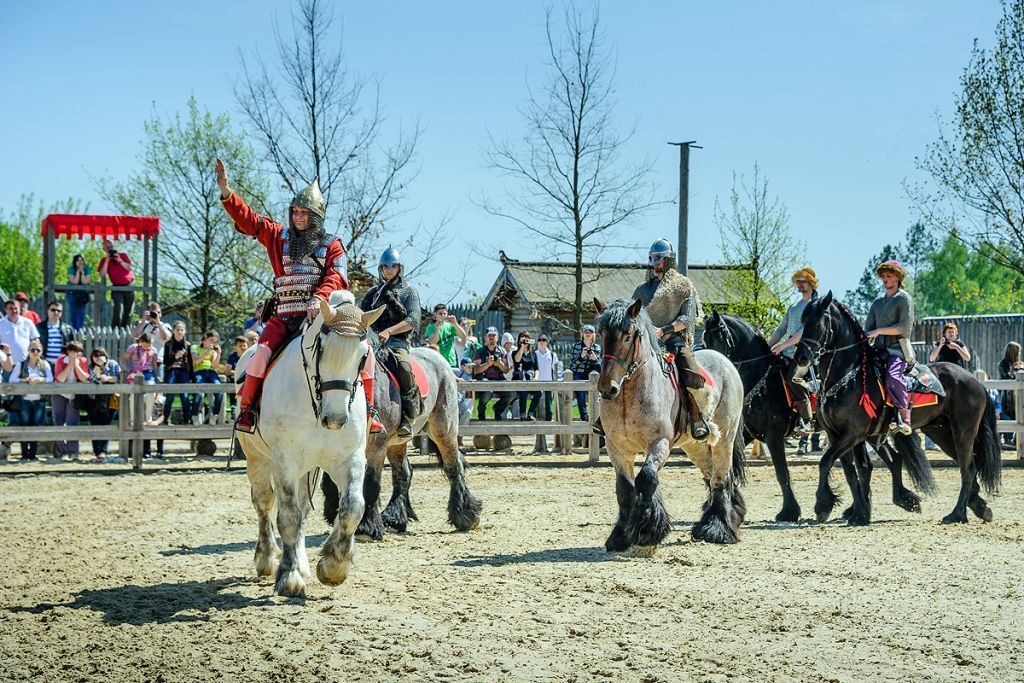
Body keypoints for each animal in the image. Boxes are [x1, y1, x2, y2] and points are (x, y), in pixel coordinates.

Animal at [235, 290, 385, 593]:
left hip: (307, 468)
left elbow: (352, 507)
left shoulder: (350, 458)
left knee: (304, 508)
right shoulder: (285, 461)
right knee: (264, 503)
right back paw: (267, 558)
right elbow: (289, 517)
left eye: (363, 356)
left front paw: (333, 566)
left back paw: (303, 563)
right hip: (257, 458)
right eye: (321, 348)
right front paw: (289, 576)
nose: (335, 419)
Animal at [319, 344, 479, 540]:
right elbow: (330, 481)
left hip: (443, 428)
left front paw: (366, 527)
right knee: (403, 472)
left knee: (454, 467)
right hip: (397, 443)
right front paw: (336, 513)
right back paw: (396, 517)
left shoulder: (377, 445)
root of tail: (437, 357)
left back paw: (465, 515)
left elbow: (371, 483)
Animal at [593, 296, 745, 552]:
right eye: (601, 333)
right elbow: (624, 488)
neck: (629, 396)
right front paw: (621, 535)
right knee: (711, 474)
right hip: (694, 446)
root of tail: (727, 363)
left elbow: (646, 478)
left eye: (627, 335)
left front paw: (647, 530)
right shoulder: (617, 449)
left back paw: (716, 528)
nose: (607, 387)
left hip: (724, 437)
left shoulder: (660, 443)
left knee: (721, 478)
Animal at [704, 313, 937, 520]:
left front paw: (789, 511)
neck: (763, 380)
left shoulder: (773, 435)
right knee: (891, 460)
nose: (713, 370)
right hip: (870, 433)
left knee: (885, 461)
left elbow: (782, 473)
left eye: (719, 335)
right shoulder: (748, 433)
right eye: (705, 338)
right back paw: (893, 502)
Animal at [790, 292, 999, 524]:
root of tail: (976, 381)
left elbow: (827, 462)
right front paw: (859, 512)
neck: (850, 376)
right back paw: (977, 505)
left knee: (968, 468)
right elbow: (852, 471)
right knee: (965, 465)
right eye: (803, 322)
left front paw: (824, 505)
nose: (800, 357)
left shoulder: (853, 434)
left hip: (963, 432)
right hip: (941, 432)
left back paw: (957, 513)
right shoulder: (838, 434)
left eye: (818, 324)